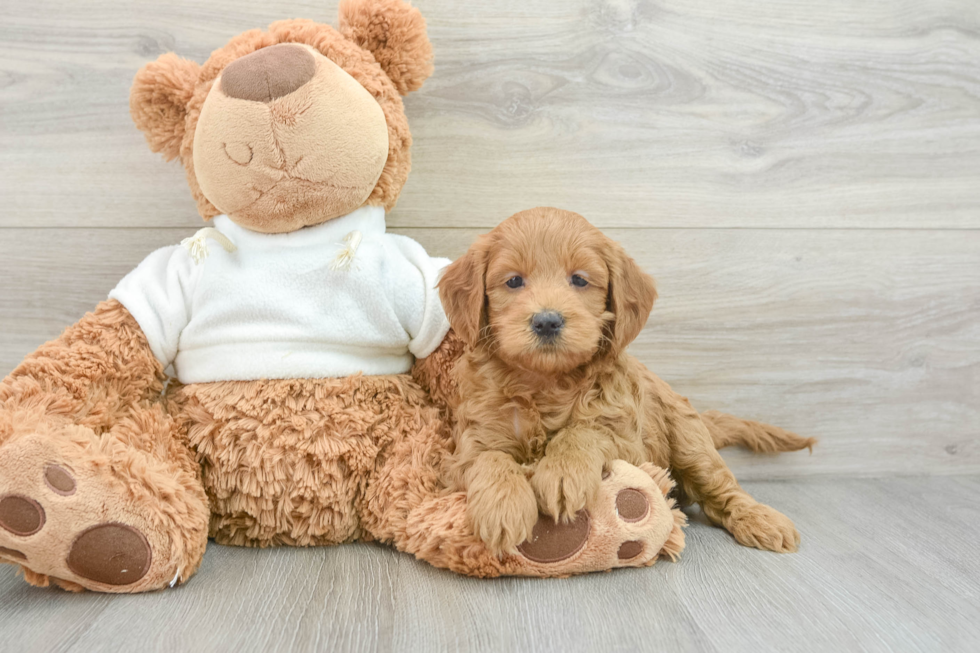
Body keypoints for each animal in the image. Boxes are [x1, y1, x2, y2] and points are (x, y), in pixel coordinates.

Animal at [440, 208, 816, 556]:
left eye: (579, 280)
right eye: (514, 281)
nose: (547, 321)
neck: (546, 381)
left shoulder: (630, 444)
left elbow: (584, 431)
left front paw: (562, 473)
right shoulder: (470, 444)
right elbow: (489, 458)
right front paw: (502, 506)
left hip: (690, 441)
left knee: (722, 487)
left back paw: (761, 519)